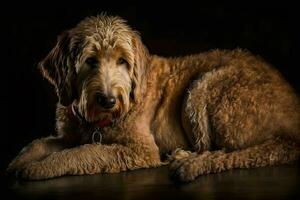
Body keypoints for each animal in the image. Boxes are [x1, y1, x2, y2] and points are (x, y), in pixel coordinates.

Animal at [7, 14, 300, 182]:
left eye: (123, 61)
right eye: (90, 60)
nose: (108, 101)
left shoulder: (141, 150)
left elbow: (86, 152)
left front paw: (40, 168)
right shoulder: (69, 135)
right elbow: (40, 144)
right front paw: (20, 161)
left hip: (204, 86)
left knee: (240, 153)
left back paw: (188, 161)